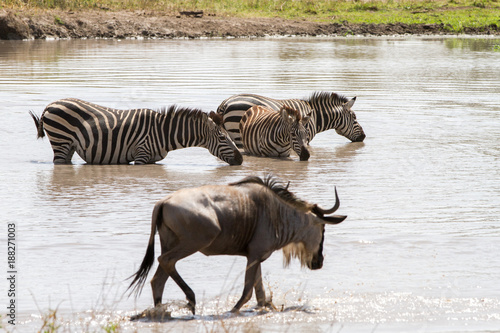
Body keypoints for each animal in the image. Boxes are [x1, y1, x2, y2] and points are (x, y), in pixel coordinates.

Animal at [29, 97, 244, 165]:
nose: (241, 160)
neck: (164, 133)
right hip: (61, 141)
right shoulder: (141, 154)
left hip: (69, 146)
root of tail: (50, 104)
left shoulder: (153, 160)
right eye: (223, 137)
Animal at [217, 91, 366, 147]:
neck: (315, 117)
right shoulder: (305, 137)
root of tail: (225, 103)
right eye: (354, 117)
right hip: (239, 135)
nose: (364, 137)